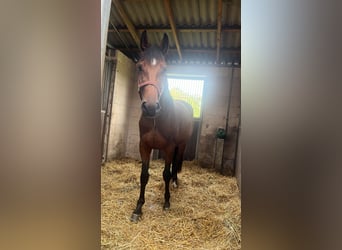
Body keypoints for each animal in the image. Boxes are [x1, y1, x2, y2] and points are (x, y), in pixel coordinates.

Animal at [130, 30, 192, 222]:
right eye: (139, 67)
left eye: (164, 69)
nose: (150, 107)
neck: (156, 120)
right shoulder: (144, 146)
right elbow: (144, 175)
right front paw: (138, 208)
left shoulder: (169, 147)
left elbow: (165, 173)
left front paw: (166, 202)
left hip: (182, 144)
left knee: (176, 164)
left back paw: (175, 182)